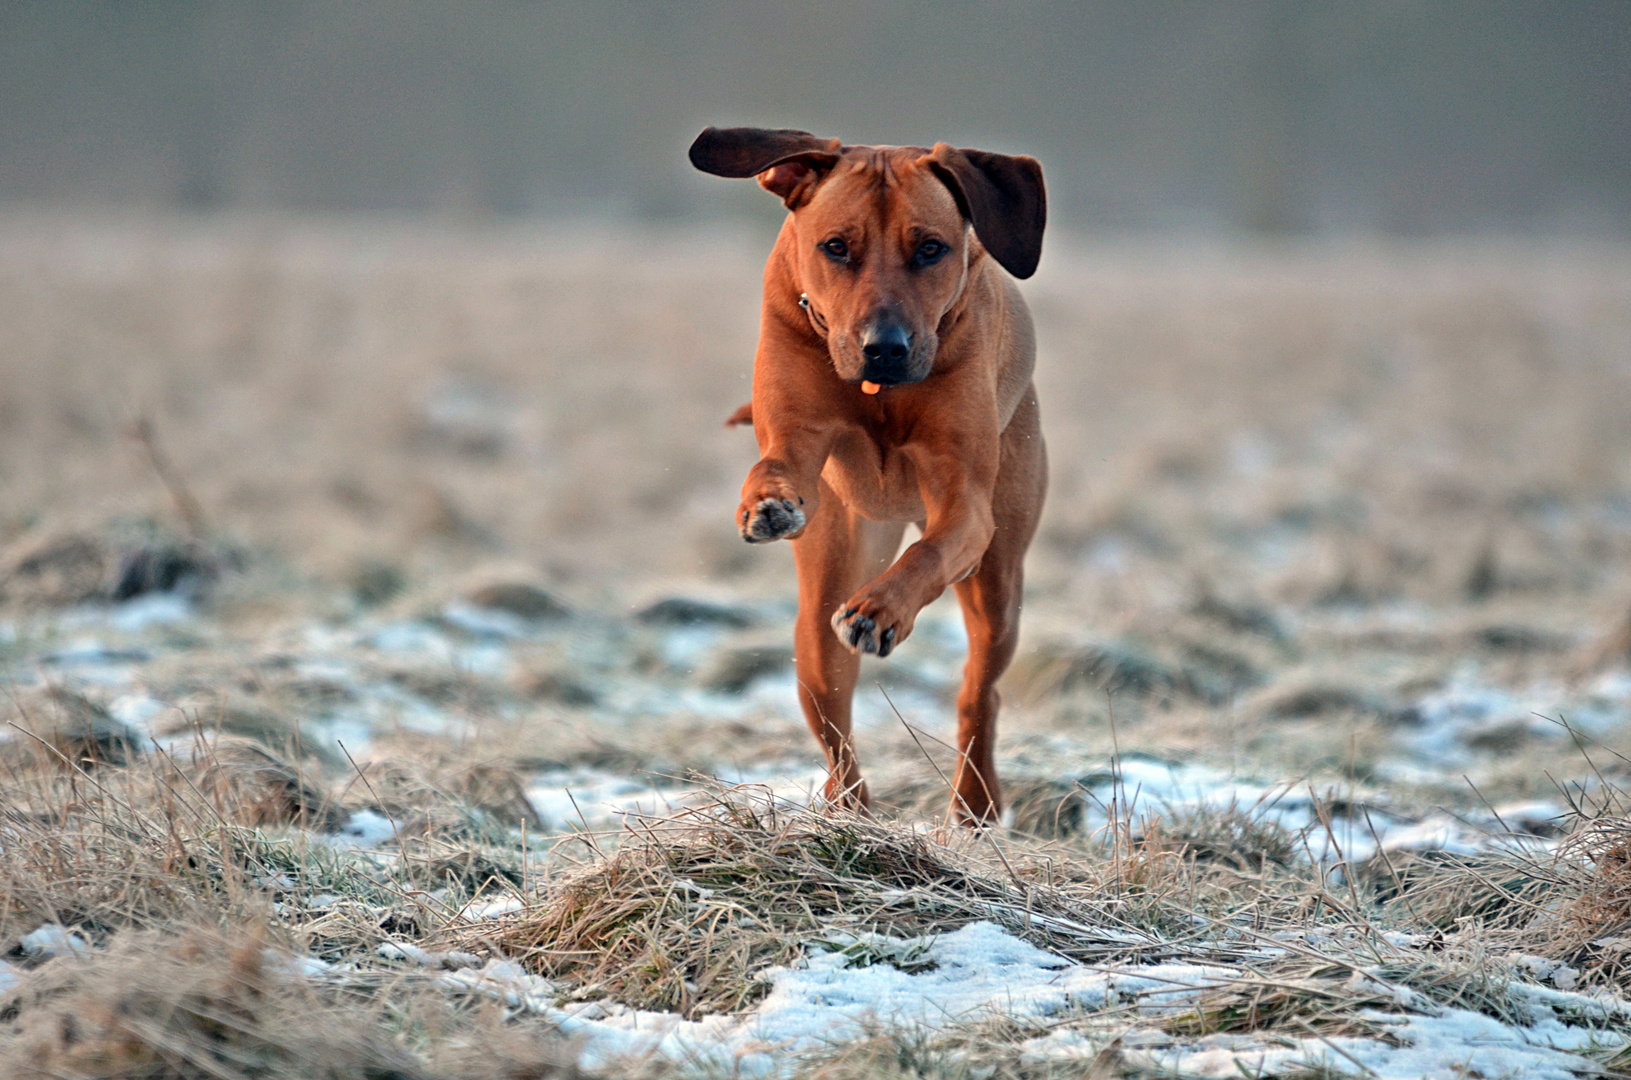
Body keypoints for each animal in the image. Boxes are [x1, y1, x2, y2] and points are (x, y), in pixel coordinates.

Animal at [685, 127, 1043, 825]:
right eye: (835, 247)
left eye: (930, 248)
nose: (885, 347)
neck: (880, 393)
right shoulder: (796, 430)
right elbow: (777, 462)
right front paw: (767, 502)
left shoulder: (966, 504)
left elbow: (934, 547)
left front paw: (879, 611)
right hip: (820, 607)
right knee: (832, 718)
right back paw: (849, 812)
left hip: (998, 581)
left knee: (978, 692)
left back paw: (974, 805)